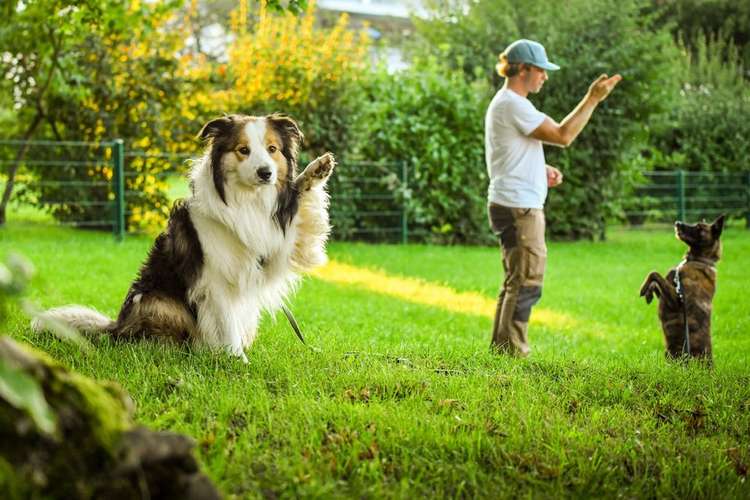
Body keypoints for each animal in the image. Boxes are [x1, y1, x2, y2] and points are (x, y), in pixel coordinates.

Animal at [35, 113, 334, 360]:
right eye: (243, 150)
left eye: (272, 149)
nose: (266, 173)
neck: (248, 200)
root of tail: (116, 327)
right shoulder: (215, 279)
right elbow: (226, 323)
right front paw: (238, 362)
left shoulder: (277, 252)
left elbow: (302, 215)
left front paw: (315, 171)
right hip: (156, 301)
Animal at [644, 214, 724, 364]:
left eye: (699, 228)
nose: (677, 223)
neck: (698, 261)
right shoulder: (669, 290)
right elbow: (657, 281)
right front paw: (648, 292)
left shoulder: (676, 300)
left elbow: (654, 273)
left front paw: (643, 289)